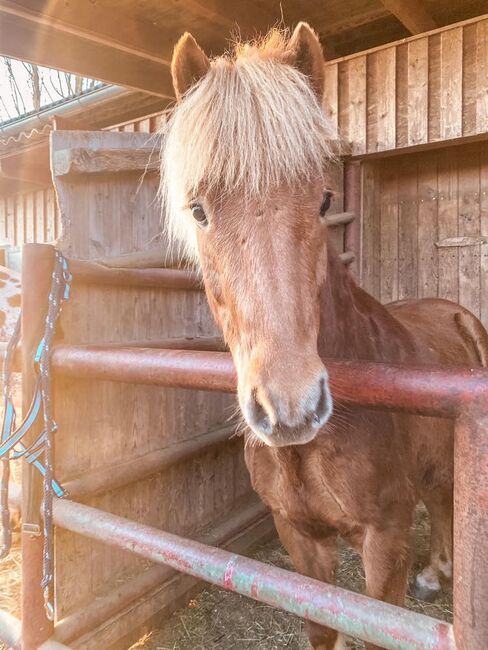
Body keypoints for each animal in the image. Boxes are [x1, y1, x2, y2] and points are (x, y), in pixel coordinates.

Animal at [161, 24, 488, 648]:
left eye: (324, 200)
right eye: (198, 210)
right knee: (441, 497)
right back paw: (436, 574)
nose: (290, 409)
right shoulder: (300, 538)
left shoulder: (384, 543)